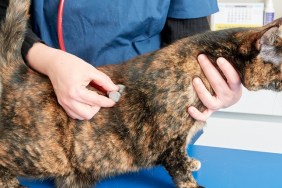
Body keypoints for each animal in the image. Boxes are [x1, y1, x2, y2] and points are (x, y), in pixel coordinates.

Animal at [0, 0, 280, 188]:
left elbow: (184, 158)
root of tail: (16, 71)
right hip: (42, 154)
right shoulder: (170, 140)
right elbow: (179, 169)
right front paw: (193, 182)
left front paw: (192, 161)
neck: (207, 57)